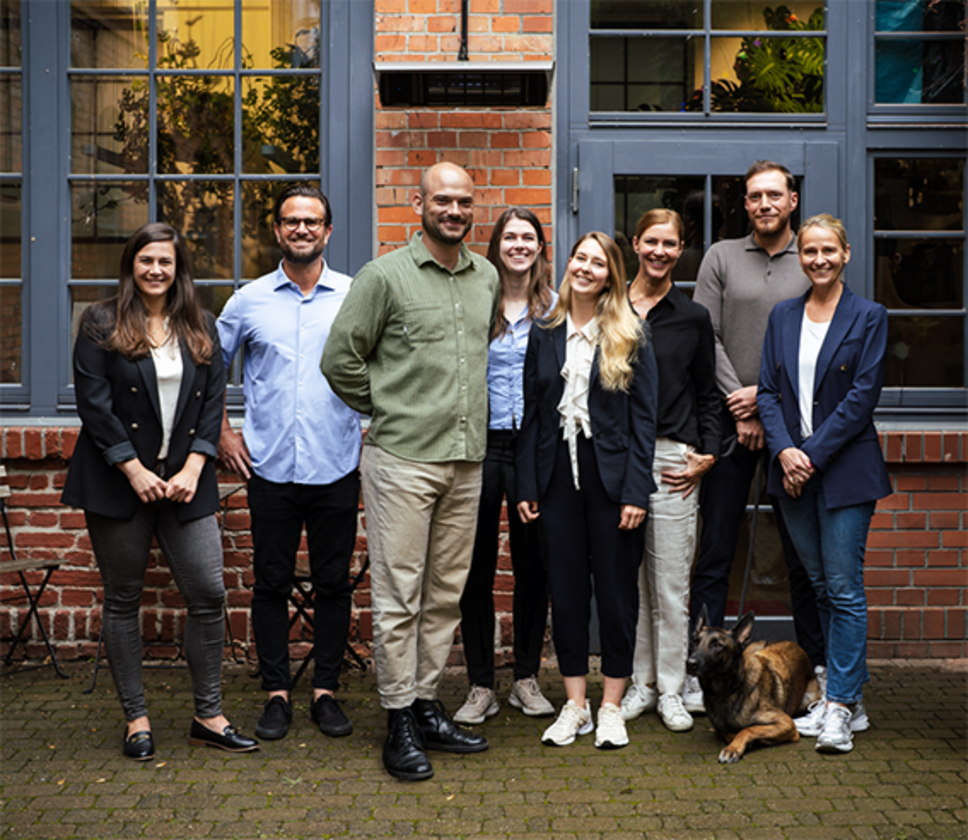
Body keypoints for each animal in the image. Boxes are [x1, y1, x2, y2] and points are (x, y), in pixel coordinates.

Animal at [686, 605, 820, 764]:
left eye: (718, 645)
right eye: (695, 641)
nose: (690, 663)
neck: (727, 692)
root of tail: (794, 643)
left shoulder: (786, 724)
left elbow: (748, 729)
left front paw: (734, 747)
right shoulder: (723, 727)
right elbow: (727, 731)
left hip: (808, 700)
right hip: (754, 647)